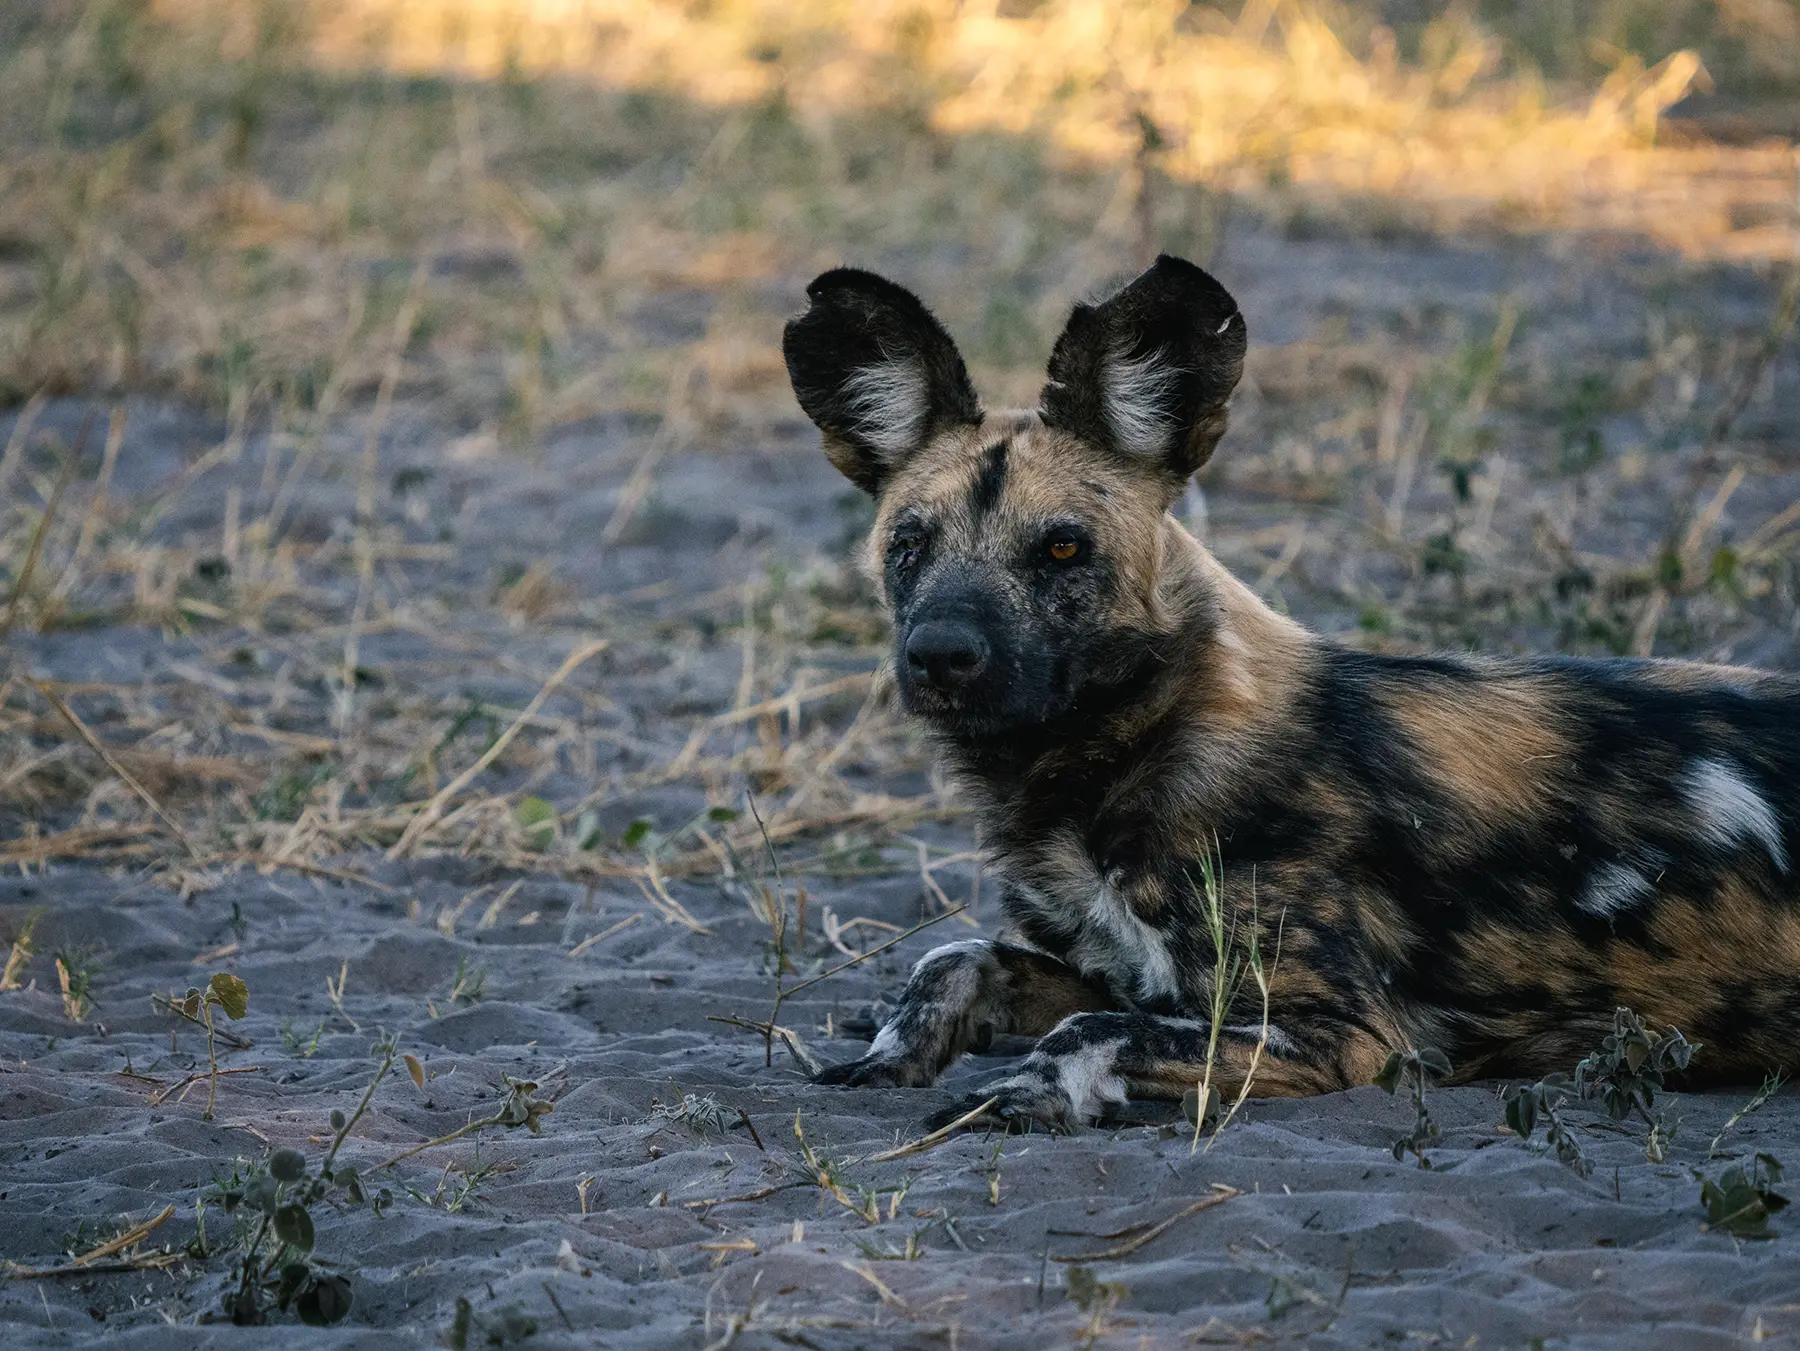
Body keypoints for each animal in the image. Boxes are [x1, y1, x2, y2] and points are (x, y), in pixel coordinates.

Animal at [781, 259, 1800, 1136]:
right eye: (909, 544)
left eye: (1062, 548)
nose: (940, 655)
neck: (1137, 747)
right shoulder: (1138, 976)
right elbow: (953, 957)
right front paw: (884, 1052)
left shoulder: (1340, 1033)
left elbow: (1087, 1028)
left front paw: (1024, 1092)